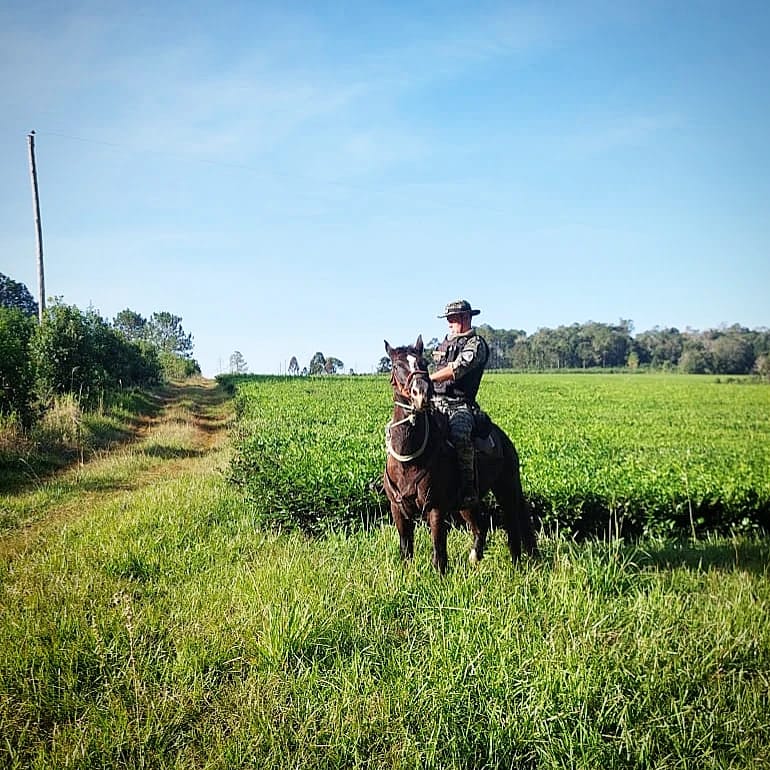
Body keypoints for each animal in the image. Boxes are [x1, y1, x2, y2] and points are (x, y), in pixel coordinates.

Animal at [380, 336, 536, 568]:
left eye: (423, 363)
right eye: (396, 365)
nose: (421, 394)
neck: (410, 459)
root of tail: (503, 438)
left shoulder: (436, 509)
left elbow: (439, 554)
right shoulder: (398, 510)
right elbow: (406, 550)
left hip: (507, 488)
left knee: (513, 525)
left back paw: (516, 562)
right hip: (467, 504)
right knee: (481, 527)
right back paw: (475, 558)